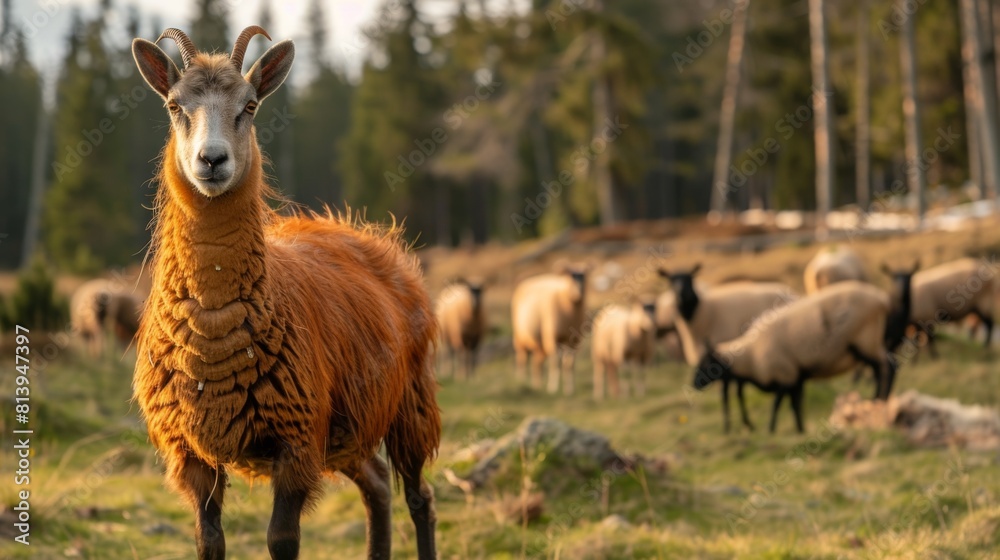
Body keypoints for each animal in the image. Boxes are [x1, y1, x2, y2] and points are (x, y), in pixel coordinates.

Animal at [131, 28, 440, 560]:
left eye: (250, 105)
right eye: (174, 105)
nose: (212, 160)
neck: (214, 329)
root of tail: (363, 231)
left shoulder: (295, 446)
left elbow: (282, 540)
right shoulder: (191, 453)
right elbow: (209, 543)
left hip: (409, 402)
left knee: (420, 498)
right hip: (345, 428)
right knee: (378, 484)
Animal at [511, 263, 589, 395]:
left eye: (584, 276)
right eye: (569, 276)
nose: (579, 291)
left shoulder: (574, 341)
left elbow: (569, 364)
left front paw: (570, 389)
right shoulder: (552, 338)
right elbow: (555, 363)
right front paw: (553, 388)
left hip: (540, 345)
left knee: (536, 363)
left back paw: (536, 385)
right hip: (520, 338)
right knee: (522, 359)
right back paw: (522, 381)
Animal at [658, 265, 798, 432]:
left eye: (690, 278)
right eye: (671, 280)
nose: (682, 295)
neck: (705, 313)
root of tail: (790, 290)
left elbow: (730, 395)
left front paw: (736, 425)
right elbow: (732, 394)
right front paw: (739, 424)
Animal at [693, 281, 894, 433]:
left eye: (706, 363)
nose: (693, 384)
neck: (751, 356)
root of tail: (882, 300)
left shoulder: (785, 375)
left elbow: (777, 404)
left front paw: (771, 429)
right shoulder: (795, 378)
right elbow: (795, 405)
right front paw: (800, 429)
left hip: (865, 341)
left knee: (883, 368)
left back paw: (877, 399)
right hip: (872, 341)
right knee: (889, 365)